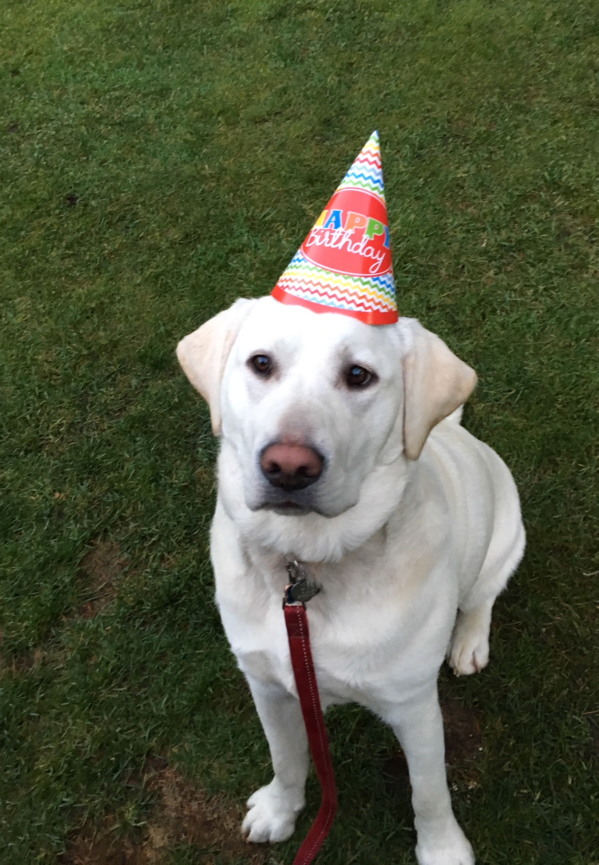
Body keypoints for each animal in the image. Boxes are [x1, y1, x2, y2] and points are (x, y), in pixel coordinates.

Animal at [177, 294, 524, 860]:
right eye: (261, 363)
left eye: (359, 375)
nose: (288, 466)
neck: (306, 563)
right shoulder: (268, 687)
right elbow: (286, 759)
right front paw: (279, 811)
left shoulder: (415, 706)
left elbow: (429, 792)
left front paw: (442, 850)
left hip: (506, 535)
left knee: (481, 598)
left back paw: (469, 643)